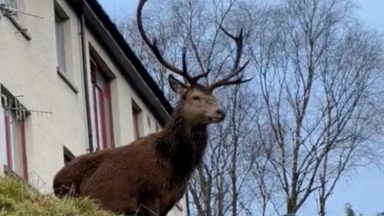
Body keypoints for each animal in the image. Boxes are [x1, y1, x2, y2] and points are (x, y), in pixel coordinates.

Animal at [51, 0, 249, 216]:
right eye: (196, 97)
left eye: (214, 98)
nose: (221, 112)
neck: (175, 167)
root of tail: (55, 179)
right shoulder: (147, 195)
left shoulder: (168, 202)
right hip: (70, 193)